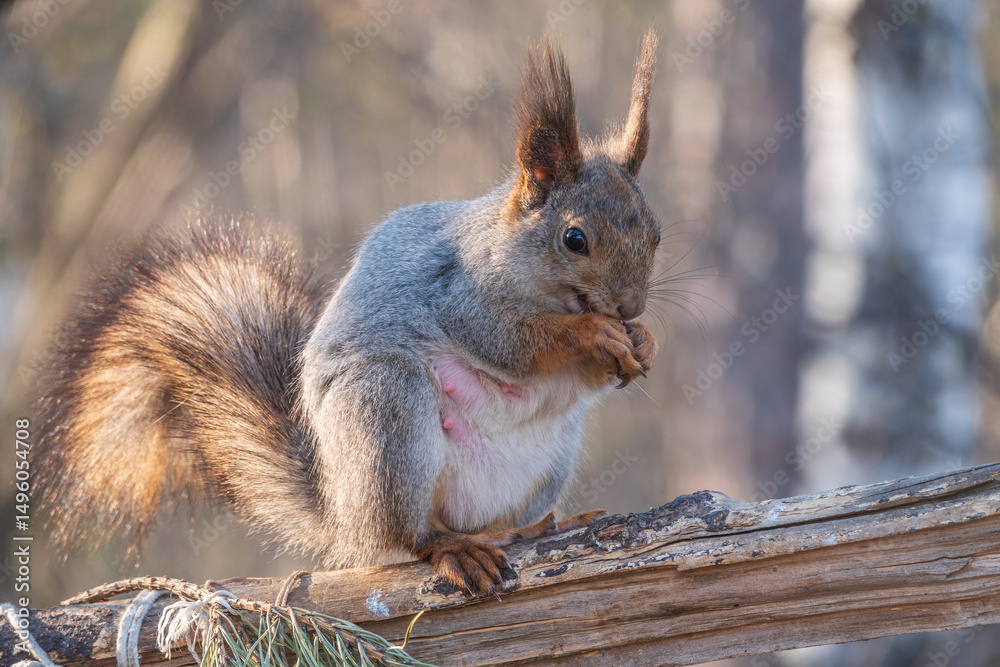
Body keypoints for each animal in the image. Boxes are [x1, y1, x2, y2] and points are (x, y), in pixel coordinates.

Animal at [32, 30, 661, 596]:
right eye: (574, 239)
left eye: (655, 233)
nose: (630, 306)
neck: (512, 256)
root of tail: (344, 516)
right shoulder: (461, 293)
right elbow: (513, 342)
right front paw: (594, 332)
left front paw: (644, 340)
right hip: (388, 416)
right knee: (411, 536)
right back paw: (452, 547)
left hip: (547, 460)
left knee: (496, 522)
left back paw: (537, 526)